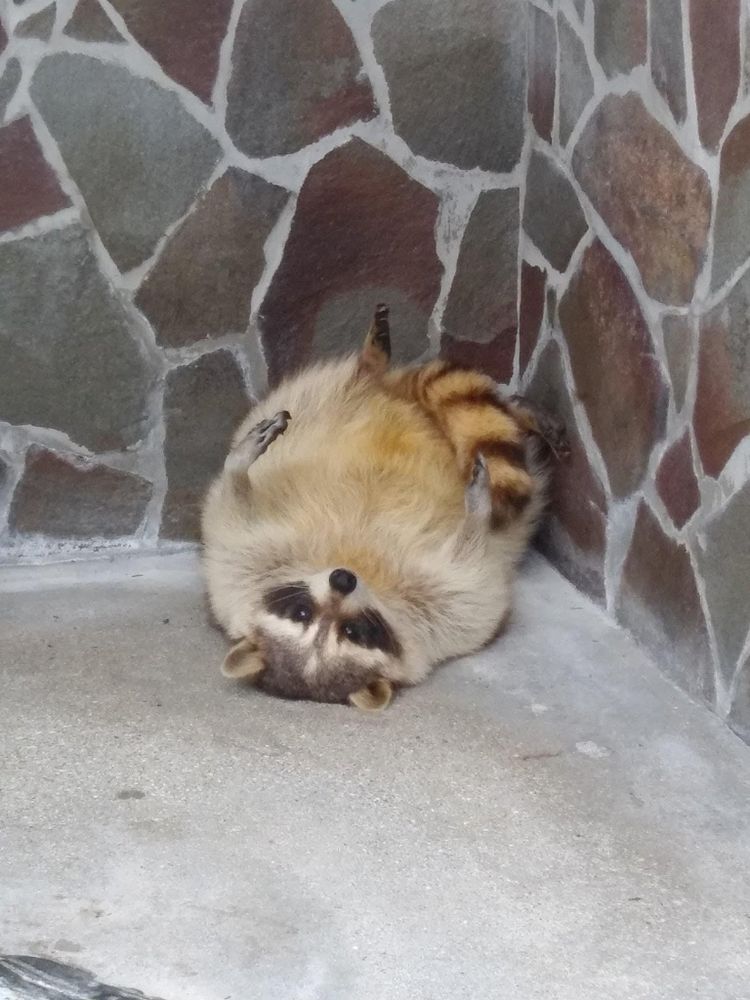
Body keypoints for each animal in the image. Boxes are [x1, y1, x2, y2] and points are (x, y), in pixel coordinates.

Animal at [201, 305, 564, 710]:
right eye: (305, 614)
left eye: (352, 631)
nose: (342, 580)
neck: (358, 563)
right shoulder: (238, 571)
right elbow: (473, 569)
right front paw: (478, 512)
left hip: (316, 396)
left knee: (368, 384)